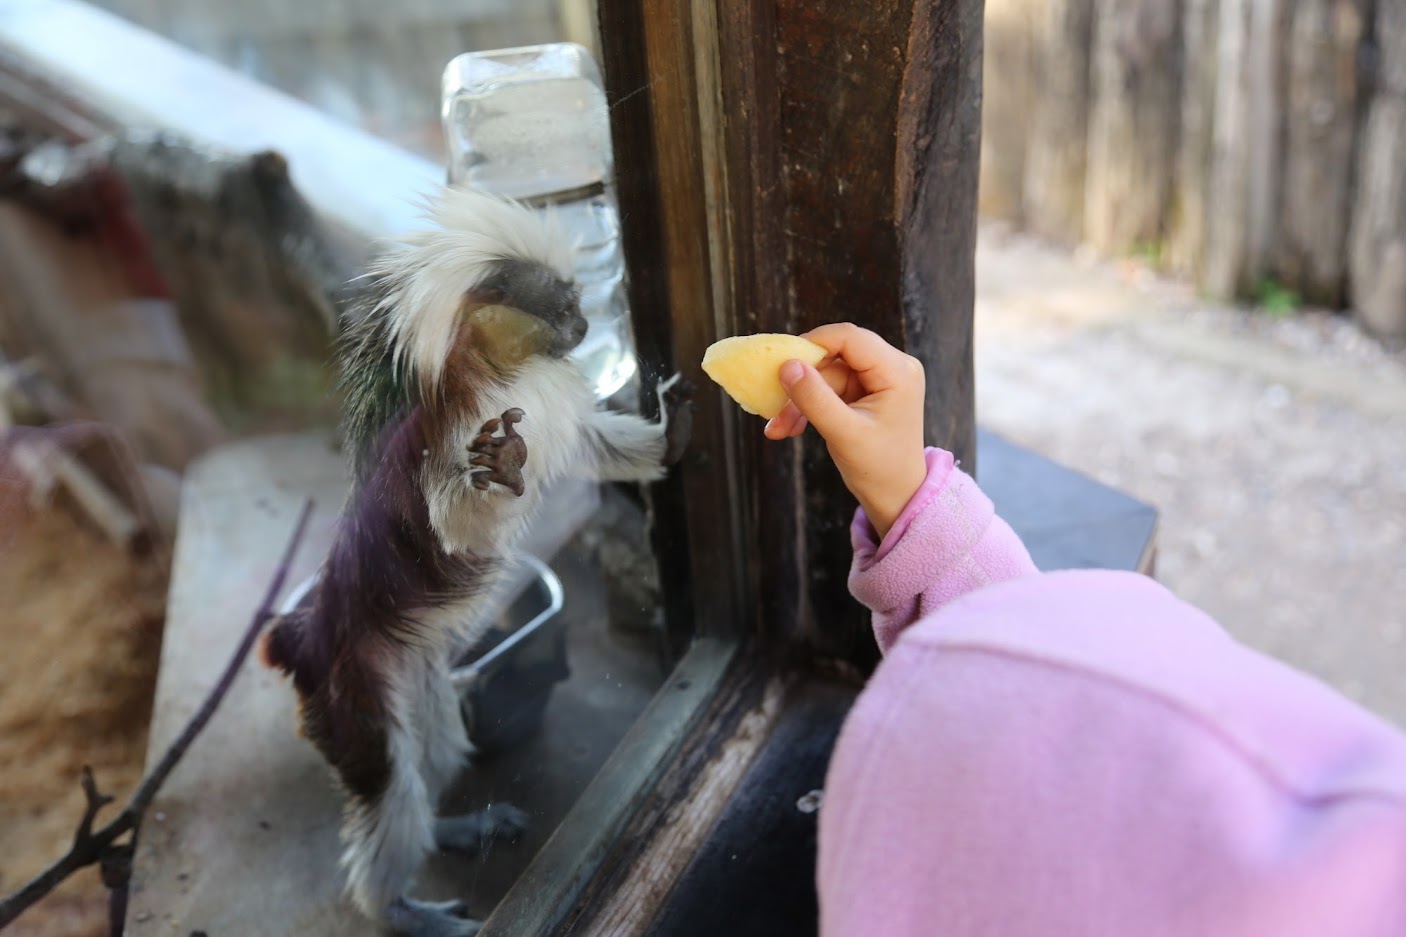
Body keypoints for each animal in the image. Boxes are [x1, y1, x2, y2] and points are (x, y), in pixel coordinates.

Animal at [262, 188, 686, 934]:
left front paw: (677, 428)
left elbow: (605, 448)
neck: (497, 370)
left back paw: (452, 828)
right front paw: (506, 470)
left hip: (417, 673)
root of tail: (307, 636)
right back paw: (402, 908)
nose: (585, 325)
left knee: (435, 749)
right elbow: (458, 526)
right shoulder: (449, 435)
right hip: (353, 690)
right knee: (391, 782)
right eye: (563, 308)